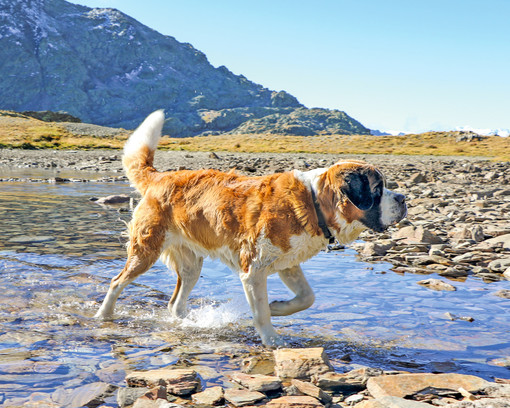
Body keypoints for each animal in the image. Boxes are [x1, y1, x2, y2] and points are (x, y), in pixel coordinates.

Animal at [94, 110, 406, 346]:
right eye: (378, 188)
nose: (403, 198)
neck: (313, 202)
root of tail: (160, 177)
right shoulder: (253, 270)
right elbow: (260, 314)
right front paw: (272, 339)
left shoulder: (288, 264)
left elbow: (307, 297)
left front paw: (277, 306)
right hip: (146, 249)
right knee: (116, 282)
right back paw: (103, 316)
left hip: (191, 263)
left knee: (175, 302)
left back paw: (189, 322)